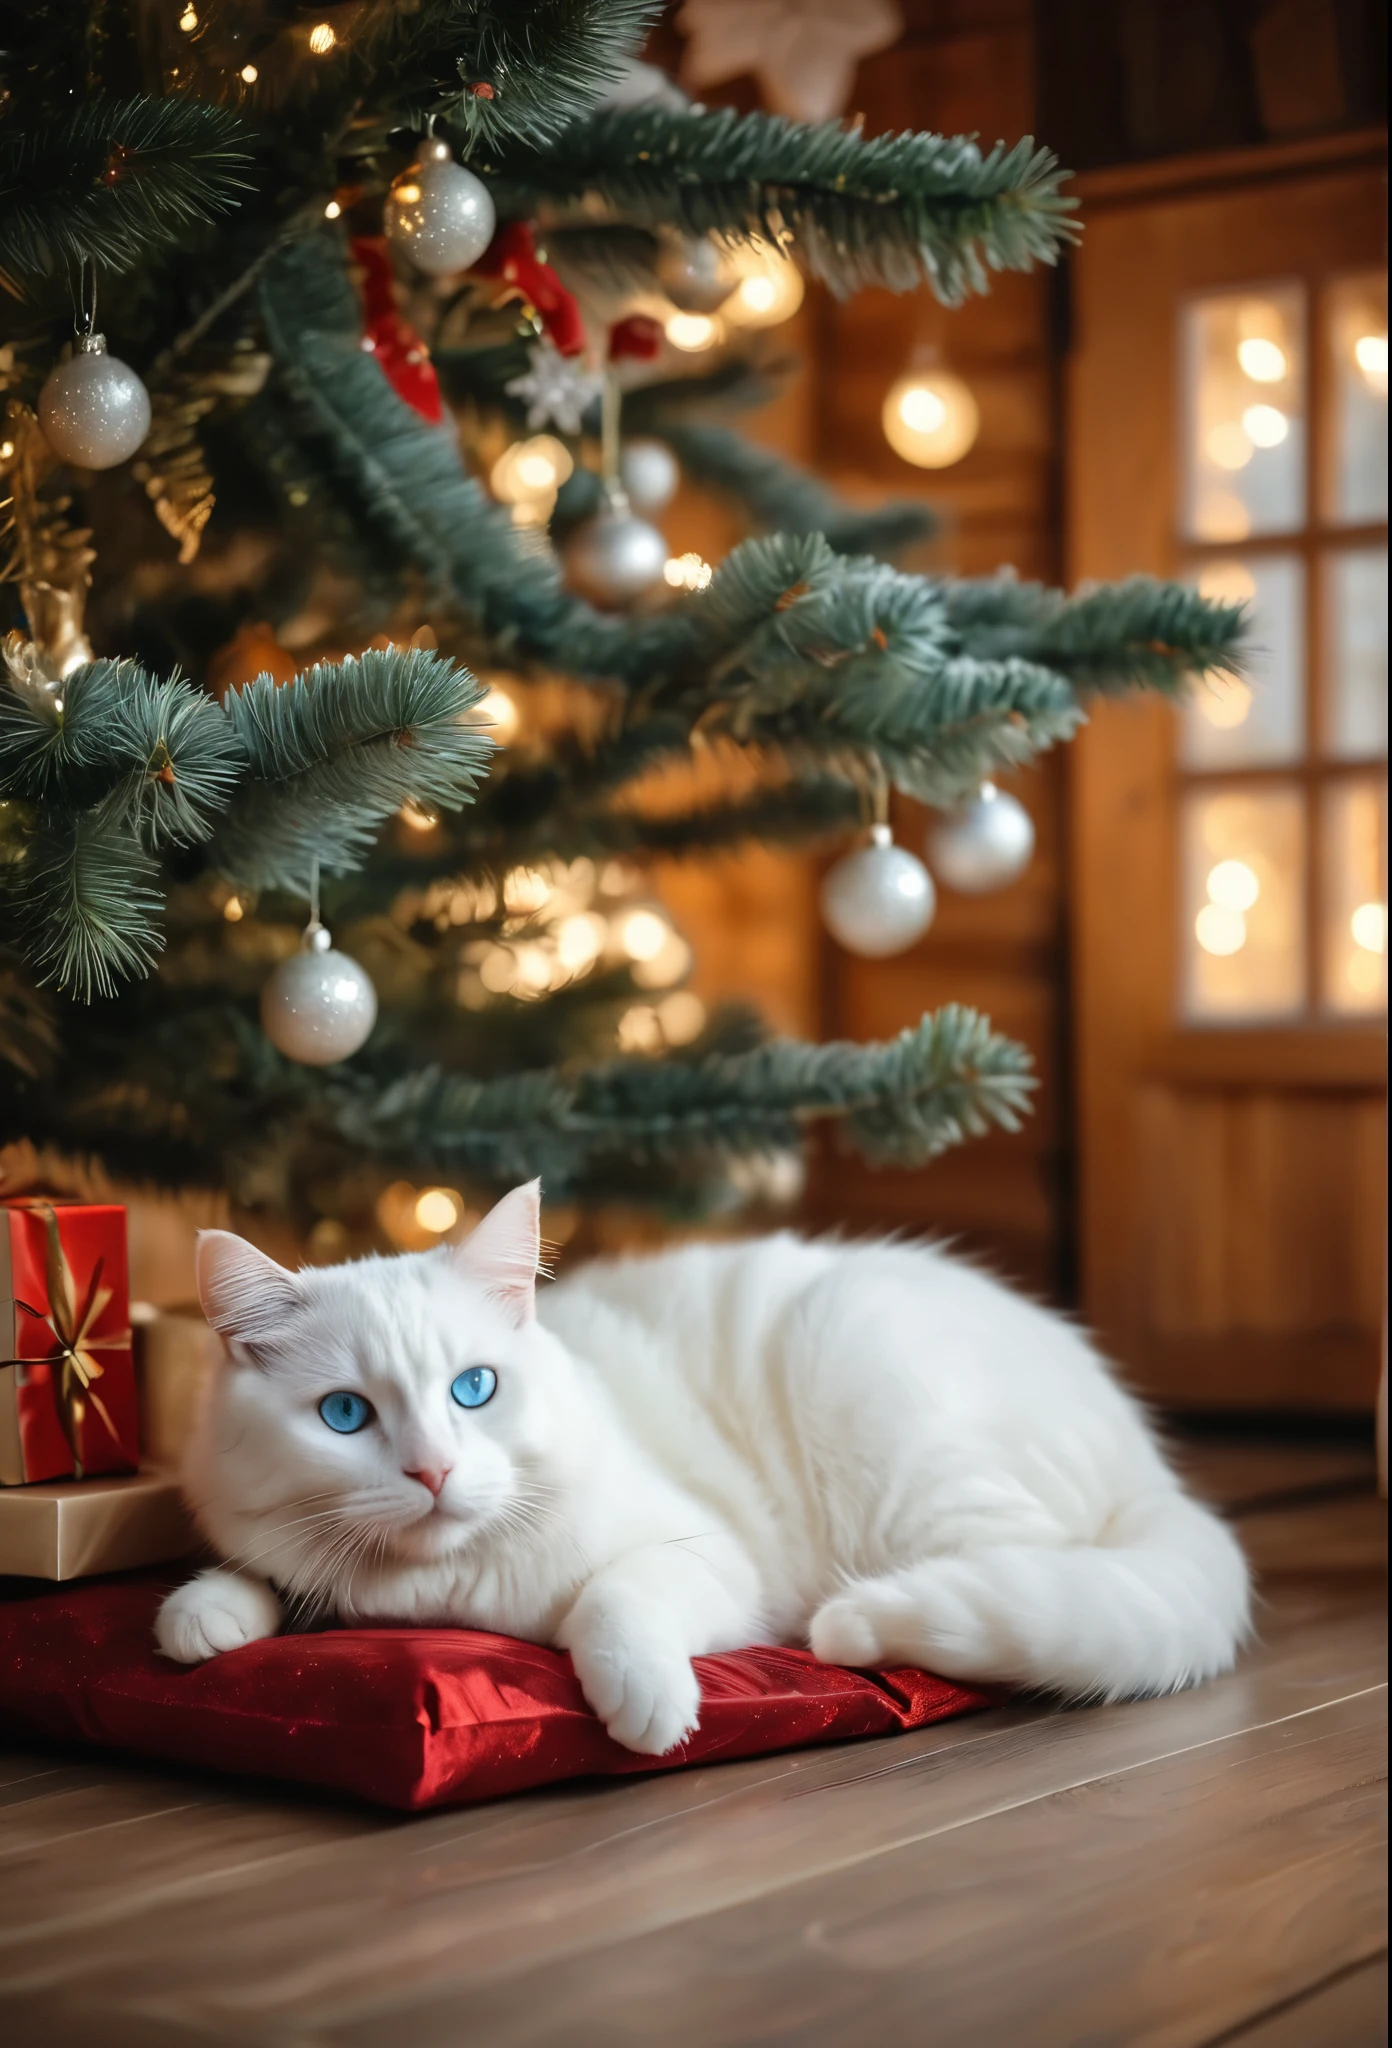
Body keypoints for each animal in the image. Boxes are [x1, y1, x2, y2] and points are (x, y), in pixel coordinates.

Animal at [160, 1196, 1252, 1753]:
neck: (442, 1592)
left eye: (475, 1389)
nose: (433, 1469)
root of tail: (1150, 1464)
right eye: (345, 1414)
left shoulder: (713, 1561)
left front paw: (646, 1698)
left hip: (875, 1400)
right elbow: (260, 1577)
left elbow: (613, 1596)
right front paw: (204, 1612)